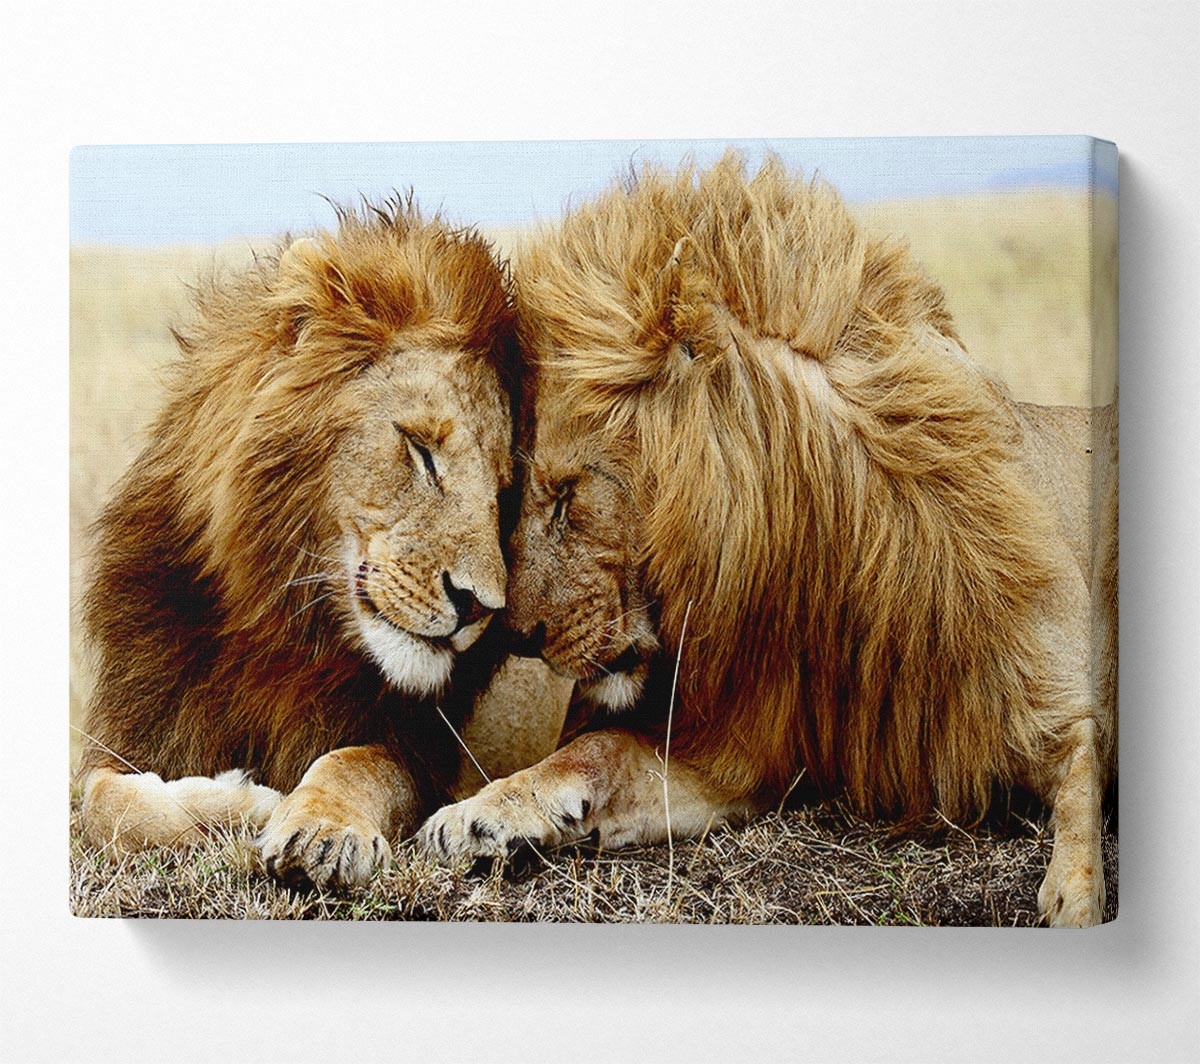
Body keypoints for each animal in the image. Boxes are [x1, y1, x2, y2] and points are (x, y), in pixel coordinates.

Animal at [78, 197, 570, 891]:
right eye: (421, 450)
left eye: (503, 495)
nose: (480, 606)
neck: (280, 624)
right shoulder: (137, 727)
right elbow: (104, 802)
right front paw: (245, 801)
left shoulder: (419, 751)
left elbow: (352, 762)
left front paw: (319, 829)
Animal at [420, 155, 1118, 927]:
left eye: (568, 494)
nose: (514, 635)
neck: (823, 569)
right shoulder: (744, 754)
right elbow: (597, 751)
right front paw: (478, 814)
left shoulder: (1053, 702)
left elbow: (1082, 771)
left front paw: (1075, 894)